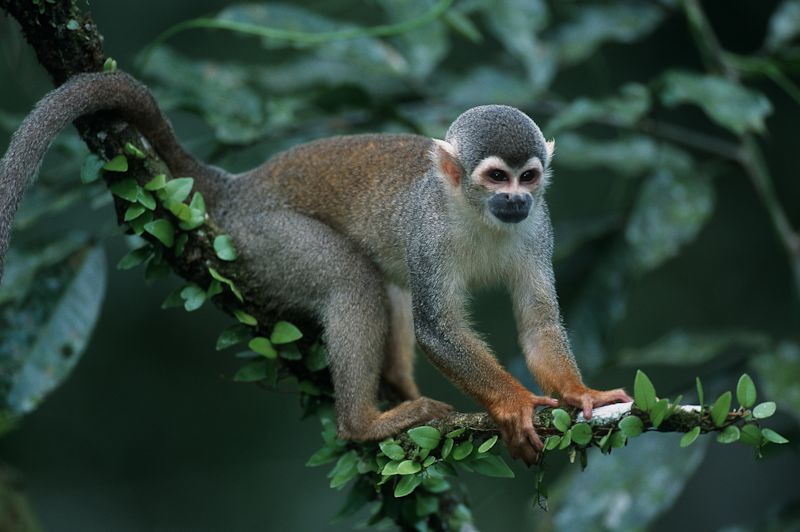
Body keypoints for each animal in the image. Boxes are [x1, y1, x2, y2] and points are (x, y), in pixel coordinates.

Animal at [0, 71, 632, 466]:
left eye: (528, 177)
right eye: (496, 177)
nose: (516, 200)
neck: (476, 214)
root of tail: (243, 186)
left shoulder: (539, 228)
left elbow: (538, 322)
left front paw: (582, 394)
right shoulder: (429, 230)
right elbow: (436, 327)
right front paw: (515, 404)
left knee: (384, 284)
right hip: (264, 240)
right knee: (354, 281)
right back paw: (364, 423)